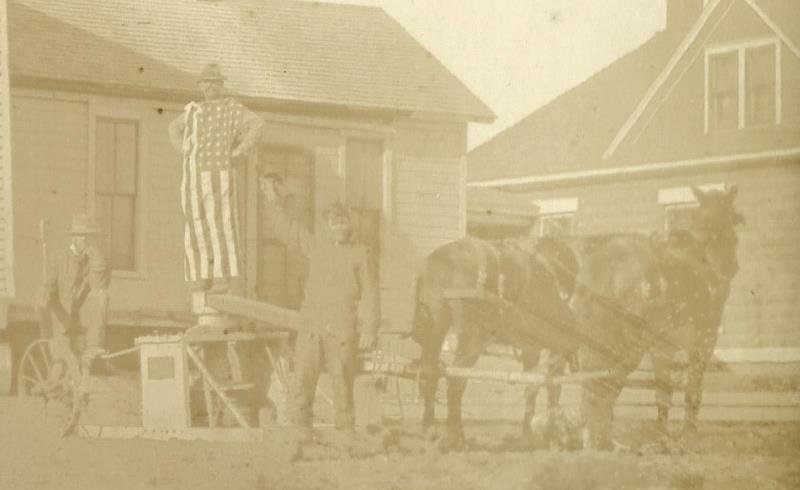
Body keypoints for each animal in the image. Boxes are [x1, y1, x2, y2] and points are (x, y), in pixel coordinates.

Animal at [412, 235, 580, 446]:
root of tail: (438, 262)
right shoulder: (536, 347)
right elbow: (538, 385)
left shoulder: (530, 348)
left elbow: (532, 385)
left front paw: (529, 431)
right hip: (472, 338)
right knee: (456, 381)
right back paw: (456, 436)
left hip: (435, 331)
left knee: (431, 371)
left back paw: (430, 427)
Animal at [572, 187, 740, 448]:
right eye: (735, 219)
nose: (731, 266)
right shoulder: (704, 338)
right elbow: (691, 388)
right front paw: (687, 433)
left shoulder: (663, 346)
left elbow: (663, 391)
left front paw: (663, 435)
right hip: (630, 346)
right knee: (606, 386)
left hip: (595, 341)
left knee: (594, 387)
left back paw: (597, 441)